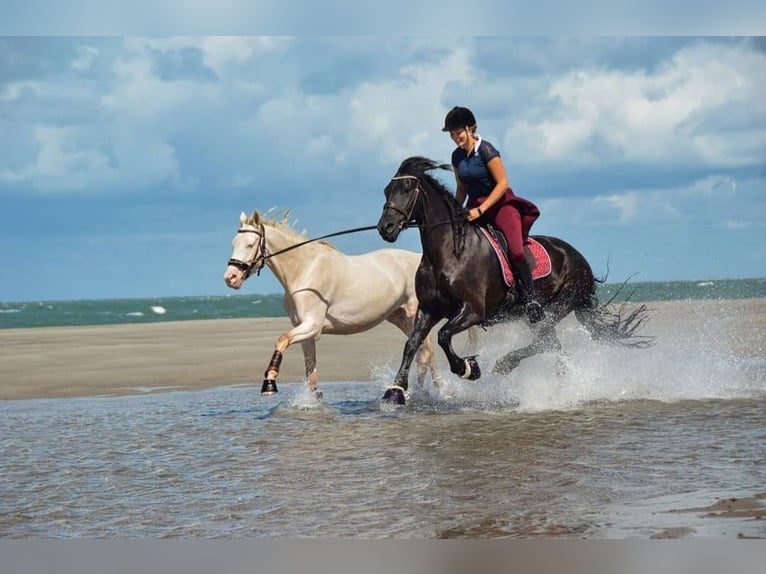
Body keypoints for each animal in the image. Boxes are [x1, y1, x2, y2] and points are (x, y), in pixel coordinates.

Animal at [224, 209, 443, 399]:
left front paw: (269, 384)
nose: (230, 278)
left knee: (425, 353)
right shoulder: (305, 332)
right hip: (399, 317)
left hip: (414, 315)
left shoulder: (312, 325)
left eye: (250, 244)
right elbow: (311, 373)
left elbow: (281, 340)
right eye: (234, 243)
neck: (304, 270)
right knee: (423, 353)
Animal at [376, 156, 652, 405]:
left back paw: (507, 365)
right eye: (387, 190)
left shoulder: (472, 311)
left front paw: (469, 368)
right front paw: (396, 391)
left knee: (543, 342)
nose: (385, 228)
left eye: (407, 189)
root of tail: (580, 260)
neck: (449, 252)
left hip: (555, 307)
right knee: (551, 346)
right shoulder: (429, 309)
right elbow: (412, 343)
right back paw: (562, 383)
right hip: (538, 317)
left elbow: (444, 336)